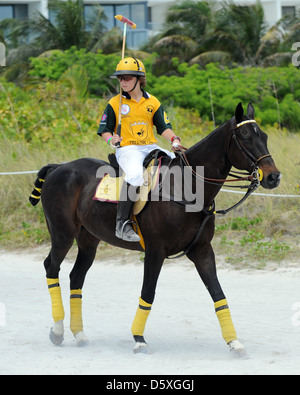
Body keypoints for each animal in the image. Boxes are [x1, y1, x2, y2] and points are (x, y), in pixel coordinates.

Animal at [28, 103, 282, 358]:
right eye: (246, 137)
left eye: (265, 136)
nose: (273, 176)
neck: (186, 187)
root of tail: (59, 167)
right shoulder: (155, 251)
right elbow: (148, 292)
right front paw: (139, 339)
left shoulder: (202, 250)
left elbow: (218, 294)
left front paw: (234, 342)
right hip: (62, 235)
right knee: (51, 267)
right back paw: (58, 331)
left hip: (89, 240)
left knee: (76, 276)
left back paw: (79, 334)